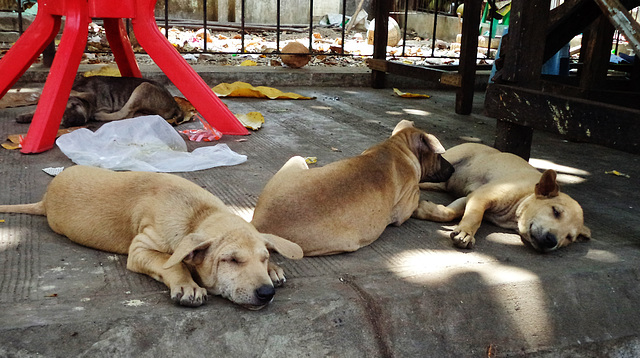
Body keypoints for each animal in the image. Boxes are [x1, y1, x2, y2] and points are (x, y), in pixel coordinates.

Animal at [0, 165, 304, 308]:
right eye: (230, 260)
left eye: (263, 258)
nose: (266, 293)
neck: (199, 214)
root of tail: (45, 200)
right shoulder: (140, 248)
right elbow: (172, 263)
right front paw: (188, 286)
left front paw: (275, 268)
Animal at [15, 75, 185, 127]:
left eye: (75, 105)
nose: (75, 122)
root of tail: (175, 104)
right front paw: (27, 115)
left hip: (143, 87)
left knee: (125, 113)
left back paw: (100, 117)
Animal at [250, 121, 456, 258]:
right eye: (439, 156)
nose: (453, 170)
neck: (397, 148)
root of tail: (259, 224)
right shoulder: (408, 203)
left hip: (295, 160)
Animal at [416, 143, 592, 252]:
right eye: (556, 211)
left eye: (569, 238)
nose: (551, 241)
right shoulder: (482, 195)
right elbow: (475, 217)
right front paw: (466, 233)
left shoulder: (469, 197)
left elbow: (450, 212)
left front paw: (424, 209)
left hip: (441, 182)